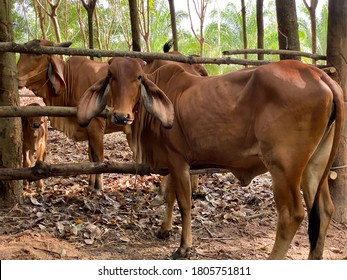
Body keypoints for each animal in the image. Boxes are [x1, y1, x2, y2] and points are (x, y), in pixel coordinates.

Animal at [17, 39, 123, 192]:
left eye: (38, 53)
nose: (16, 76)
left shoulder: (96, 126)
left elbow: (98, 158)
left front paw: (98, 187)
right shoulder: (88, 130)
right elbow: (91, 157)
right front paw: (90, 185)